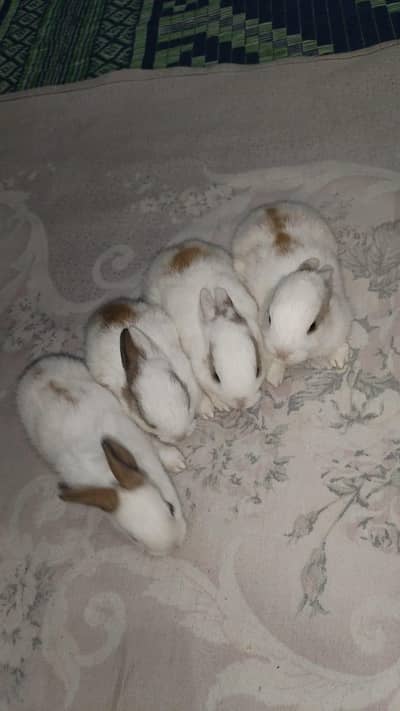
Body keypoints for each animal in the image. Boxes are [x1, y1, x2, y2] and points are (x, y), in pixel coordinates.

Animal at [16, 354, 187, 556]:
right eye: (133, 538)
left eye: (170, 507)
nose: (176, 546)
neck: (106, 476)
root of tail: (33, 371)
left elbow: (155, 443)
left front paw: (176, 462)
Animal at [85, 298, 202, 470]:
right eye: (148, 422)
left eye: (187, 398)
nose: (180, 436)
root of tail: (105, 308)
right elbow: (155, 443)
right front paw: (176, 463)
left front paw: (207, 410)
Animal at [232, 201, 351, 387]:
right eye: (269, 318)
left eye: (313, 326)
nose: (282, 352)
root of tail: (270, 207)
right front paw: (275, 378)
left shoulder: (341, 322)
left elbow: (339, 342)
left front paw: (338, 360)